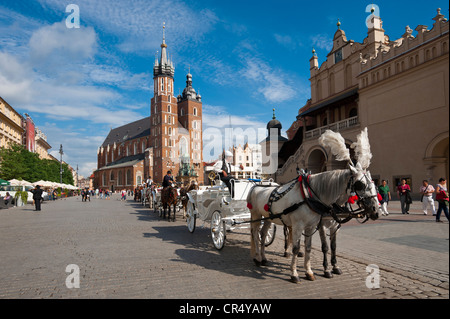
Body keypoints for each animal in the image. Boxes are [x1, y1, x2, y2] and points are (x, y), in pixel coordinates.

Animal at [250, 129, 380, 284]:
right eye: (360, 185)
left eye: (373, 184)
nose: (376, 211)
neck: (310, 196)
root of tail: (259, 186)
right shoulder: (307, 225)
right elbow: (307, 248)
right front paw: (298, 273)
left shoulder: (315, 226)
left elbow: (314, 247)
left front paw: (312, 271)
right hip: (256, 216)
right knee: (255, 234)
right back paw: (257, 258)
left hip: (268, 218)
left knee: (263, 235)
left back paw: (264, 258)